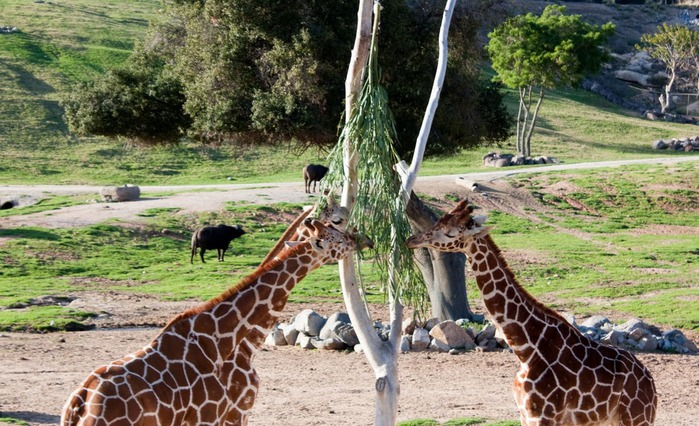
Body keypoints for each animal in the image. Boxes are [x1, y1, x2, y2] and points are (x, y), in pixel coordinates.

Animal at [408, 201, 660, 426]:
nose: (412, 240)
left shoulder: (543, 415)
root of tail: (650, 383)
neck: (526, 350)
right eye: (438, 221)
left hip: (636, 417)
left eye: (449, 233)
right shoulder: (524, 414)